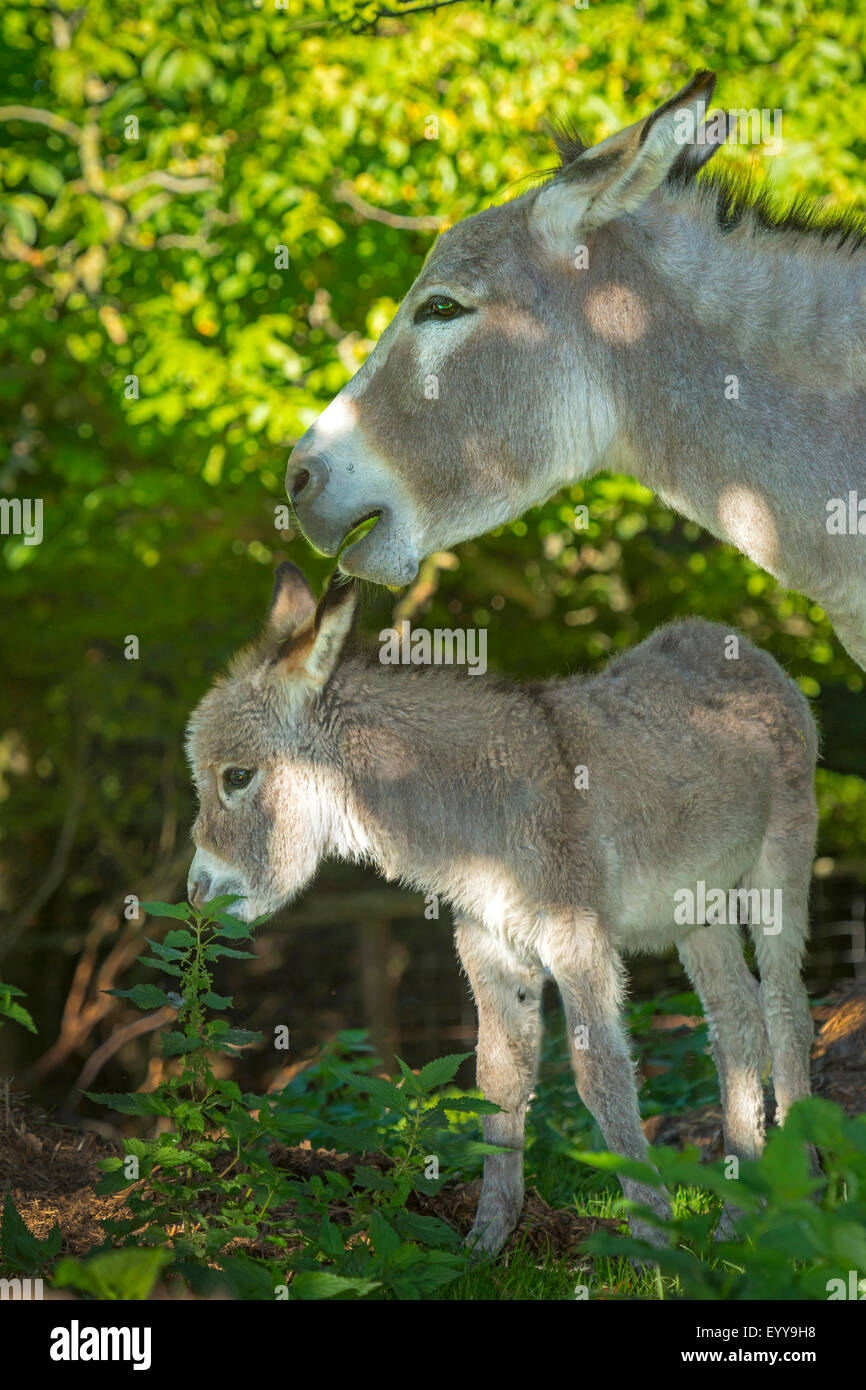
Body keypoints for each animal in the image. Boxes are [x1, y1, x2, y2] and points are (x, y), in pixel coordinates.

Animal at [186, 558, 817, 1256]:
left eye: (237, 777)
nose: (196, 894)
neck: (474, 813)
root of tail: (731, 642)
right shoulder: (489, 942)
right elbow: (497, 1079)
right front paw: (486, 1239)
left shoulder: (577, 936)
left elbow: (600, 1075)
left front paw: (652, 1241)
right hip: (696, 909)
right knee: (737, 1023)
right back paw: (737, 1220)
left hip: (778, 868)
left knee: (786, 1010)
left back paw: (803, 1199)